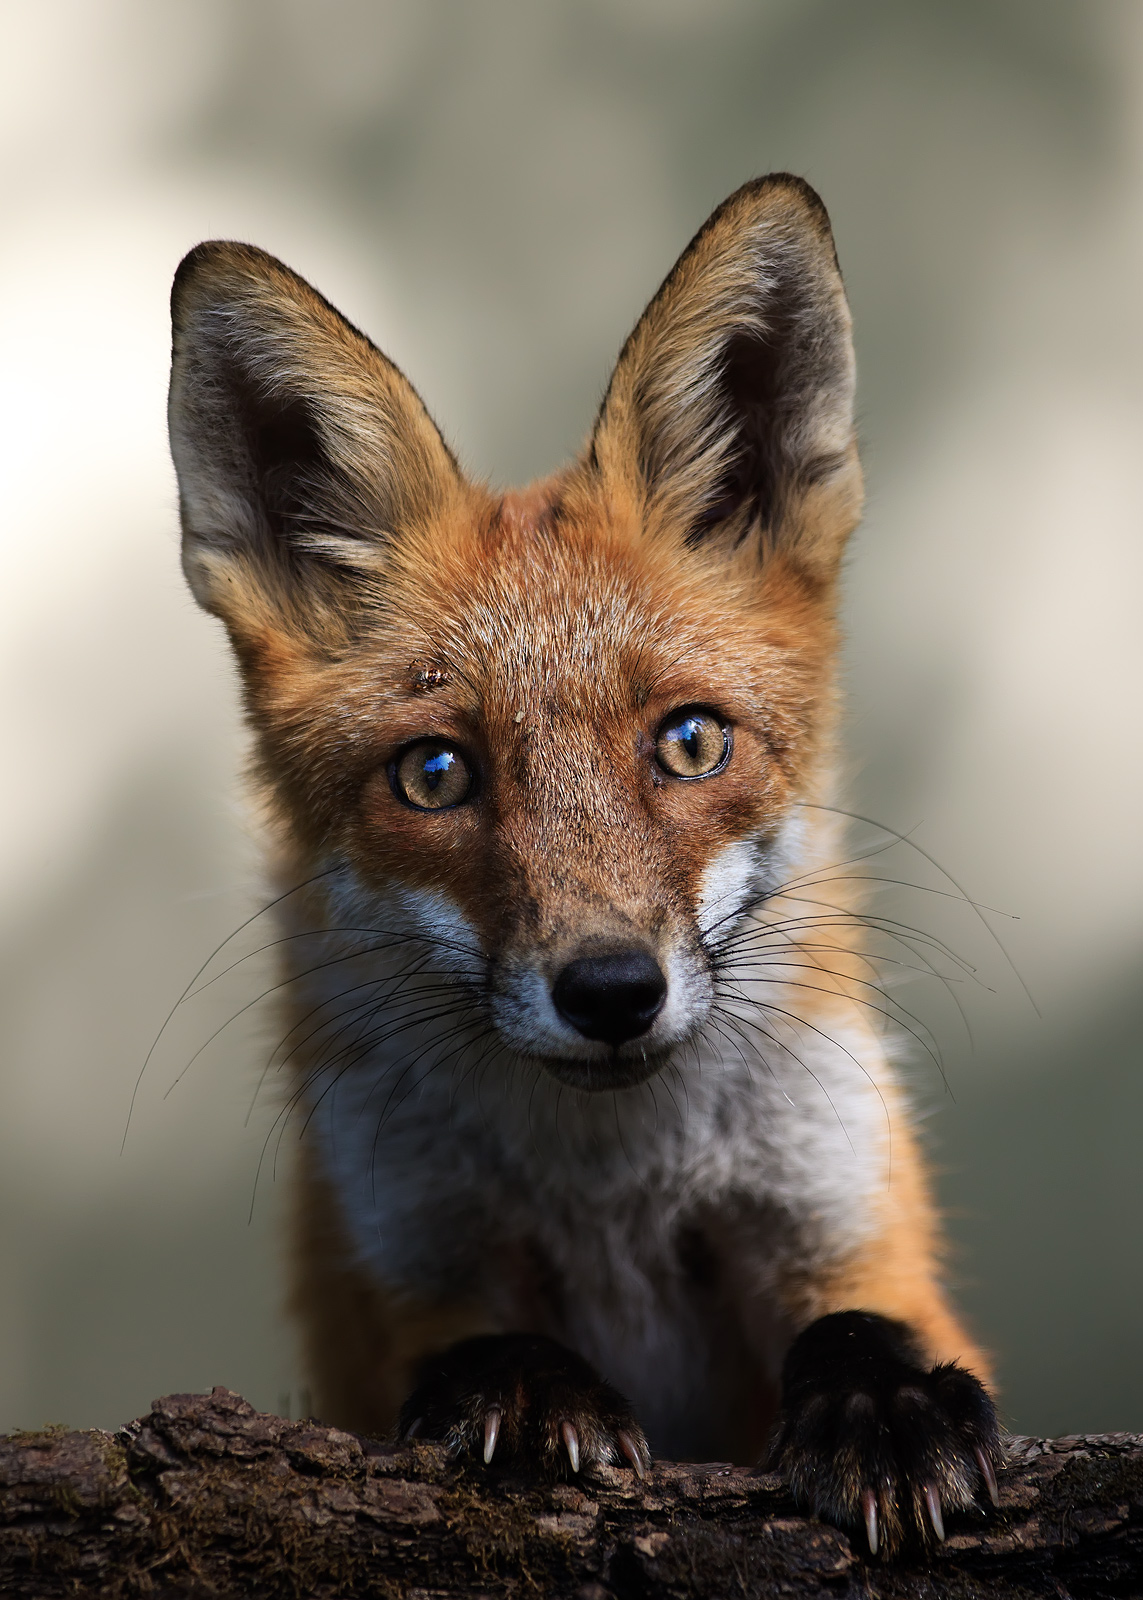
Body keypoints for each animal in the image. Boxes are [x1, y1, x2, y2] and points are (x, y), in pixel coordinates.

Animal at [166, 174, 1001, 1557]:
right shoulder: (396, 1263)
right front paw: (522, 1395)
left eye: (690, 742)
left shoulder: (839, 1212)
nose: (612, 992)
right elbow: (469, 1349)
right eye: (435, 774)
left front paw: (888, 1410)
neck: (617, 1188)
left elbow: (868, 1327)